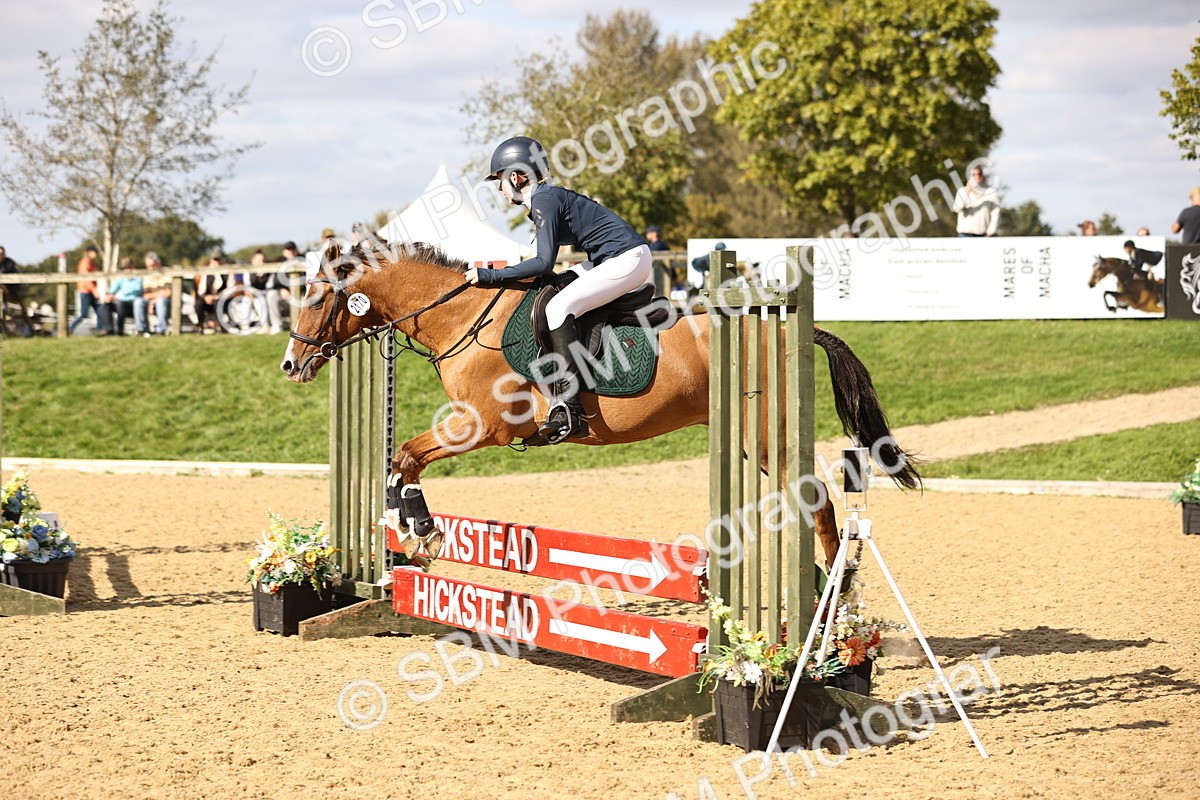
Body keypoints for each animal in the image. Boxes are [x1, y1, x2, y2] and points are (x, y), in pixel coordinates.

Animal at [280, 239, 921, 568]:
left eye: (314, 297)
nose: (290, 365)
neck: (461, 317)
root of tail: (793, 331)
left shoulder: (483, 426)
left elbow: (408, 455)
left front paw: (422, 528)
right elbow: (399, 461)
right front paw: (407, 524)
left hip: (768, 438)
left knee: (820, 506)